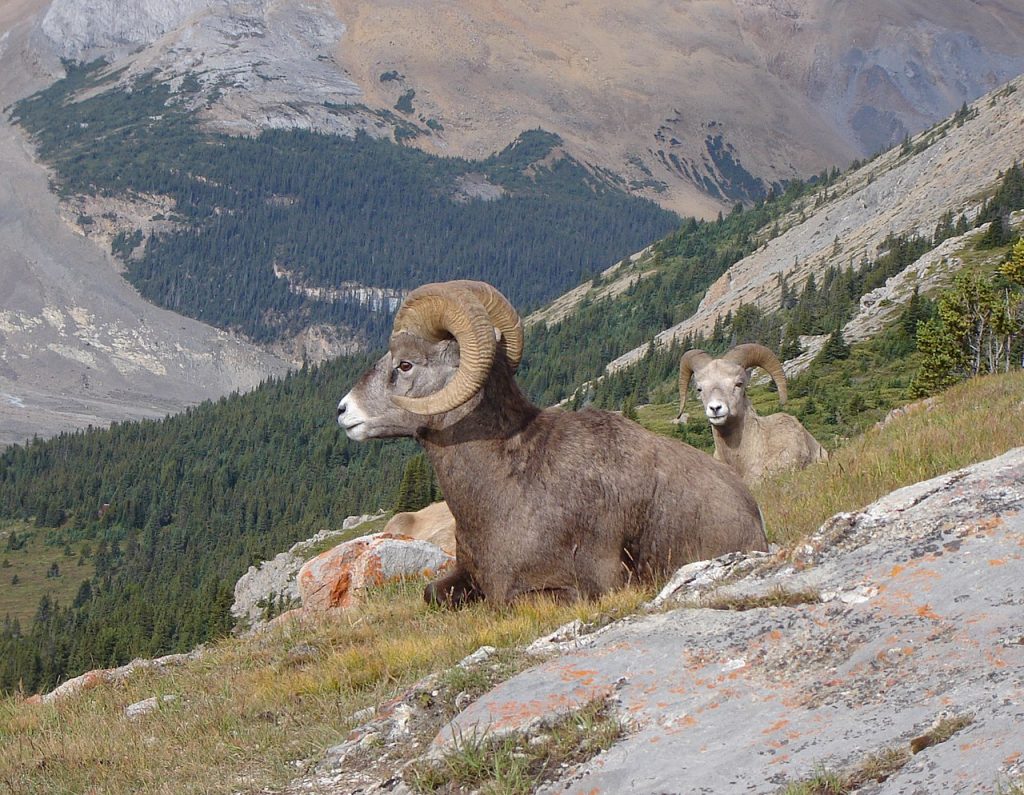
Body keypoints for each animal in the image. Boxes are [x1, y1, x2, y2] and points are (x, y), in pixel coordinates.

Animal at [337, 280, 767, 606]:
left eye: (405, 364)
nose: (343, 411)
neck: (507, 486)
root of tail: (751, 507)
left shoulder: (578, 588)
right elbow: (431, 594)